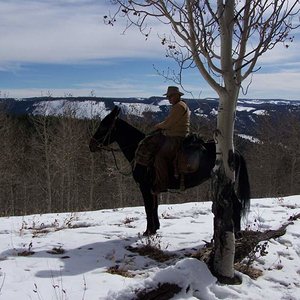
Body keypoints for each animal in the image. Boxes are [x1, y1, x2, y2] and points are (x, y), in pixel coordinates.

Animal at [89, 106, 251, 236]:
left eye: (103, 126)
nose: (91, 145)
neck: (139, 151)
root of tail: (234, 152)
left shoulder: (145, 187)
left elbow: (148, 208)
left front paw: (148, 232)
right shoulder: (153, 188)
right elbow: (154, 207)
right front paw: (155, 229)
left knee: (236, 205)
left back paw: (237, 233)